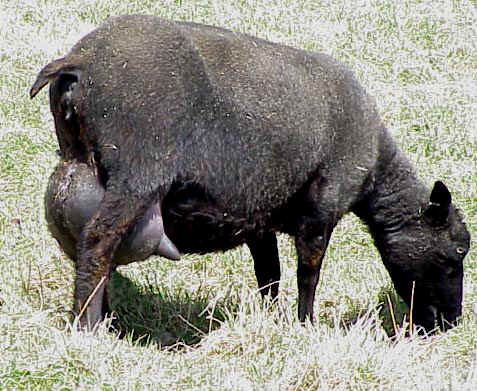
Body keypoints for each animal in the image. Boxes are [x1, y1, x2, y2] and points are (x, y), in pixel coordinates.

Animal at [30, 16, 468, 334]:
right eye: (458, 251)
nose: (450, 323)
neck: (374, 169)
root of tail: (80, 60)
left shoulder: (260, 216)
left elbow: (269, 275)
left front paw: (271, 319)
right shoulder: (321, 210)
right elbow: (307, 275)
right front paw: (305, 325)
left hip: (77, 163)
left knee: (81, 241)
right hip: (137, 172)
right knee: (98, 241)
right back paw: (88, 327)